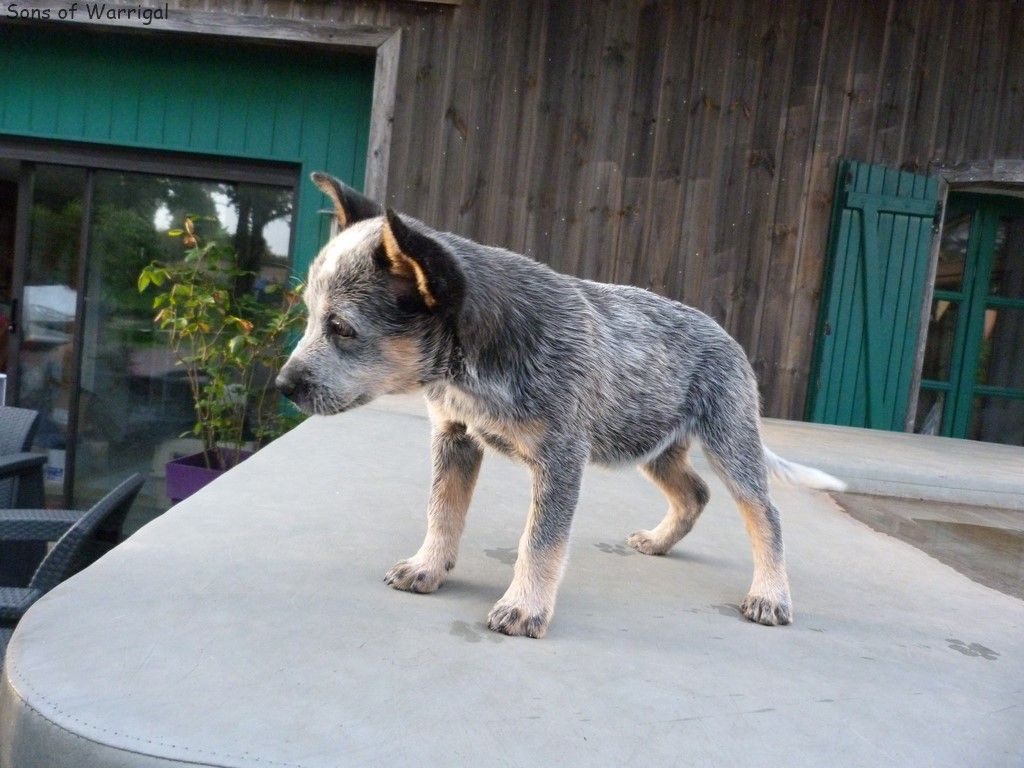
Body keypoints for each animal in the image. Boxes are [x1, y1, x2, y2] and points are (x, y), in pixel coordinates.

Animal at [276, 172, 846, 639]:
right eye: (309, 317)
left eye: (342, 328)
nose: (282, 384)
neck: (480, 357)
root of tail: (729, 337)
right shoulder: (454, 437)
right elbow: (442, 510)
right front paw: (427, 566)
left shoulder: (562, 457)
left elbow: (541, 540)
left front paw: (525, 607)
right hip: (650, 443)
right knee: (694, 493)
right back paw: (660, 541)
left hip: (730, 442)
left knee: (764, 513)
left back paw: (770, 595)